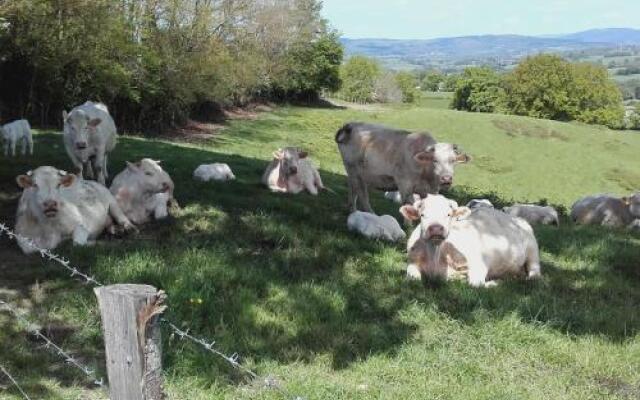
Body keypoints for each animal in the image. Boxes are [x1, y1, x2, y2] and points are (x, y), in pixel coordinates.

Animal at [336, 122, 470, 212]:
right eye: (435, 160)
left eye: (453, 160)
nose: (446, 179)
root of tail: (350, 125)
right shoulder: (405, 185)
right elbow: (408, 206)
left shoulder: (430, 191)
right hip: (355, 172)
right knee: (362, 195)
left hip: (355, 174)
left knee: (352, 189)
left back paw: (352, 210)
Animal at [402, 195, 544, 286]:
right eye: (422, 214)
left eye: (448, 214)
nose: (436, 228)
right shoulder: (412, 262)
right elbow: (413, 278)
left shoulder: (480, 264)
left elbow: (475, 284)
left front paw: (494, 282)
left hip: (532, 249)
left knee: (534, 271)